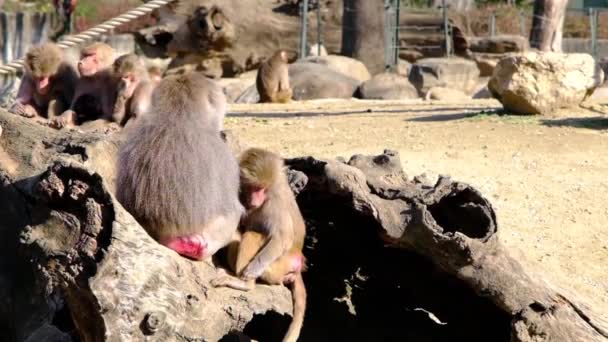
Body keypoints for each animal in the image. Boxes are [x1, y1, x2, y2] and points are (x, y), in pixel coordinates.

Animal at [214, 148, 308, 342]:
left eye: (262, 189)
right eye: (253, 188)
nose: (256, 200)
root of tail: (297, 262)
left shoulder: (275, 203)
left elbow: (282, 237)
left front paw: (251, 271)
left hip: (278, 265)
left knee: (252, 235)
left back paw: (245, 283)